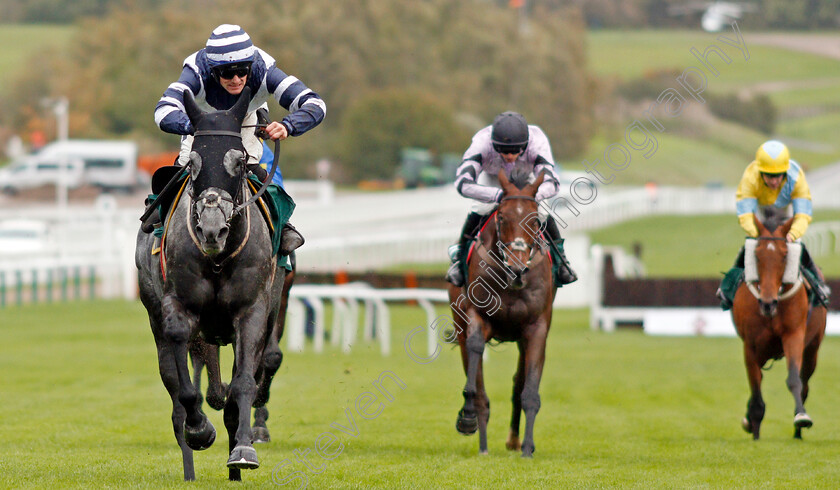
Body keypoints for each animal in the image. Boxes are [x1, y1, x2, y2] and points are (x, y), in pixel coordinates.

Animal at [136, 86, 290, 480]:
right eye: (193, 164)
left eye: (240, 161)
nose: (211, 229)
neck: (218, 259)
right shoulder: (178, 309)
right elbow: (186, 388)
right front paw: (200, 429)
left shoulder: (254, 310)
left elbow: (246, 381)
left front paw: (244, 450)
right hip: (158, 317)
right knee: (176, 386)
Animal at [450, 167, 556, 456]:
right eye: (502, 217)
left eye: (535, 221)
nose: (517, 269)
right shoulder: (476, 315)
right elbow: (476, 356)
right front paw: (468, 416)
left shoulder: (536, 328)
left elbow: (527, 390)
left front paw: (527, 447)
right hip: (459, 324)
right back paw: (481, 440)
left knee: (518, 381)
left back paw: (513, 440)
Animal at [732, 214, 832, 440]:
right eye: (757, 255)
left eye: (785, 256)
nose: (768, 303)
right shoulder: (750, 345)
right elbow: (755, 386)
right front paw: (754, 431)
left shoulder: (794, 335)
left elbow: (794, 379)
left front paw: (801, 417)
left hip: (812, 349)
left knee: (805, 383)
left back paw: (798, 432)